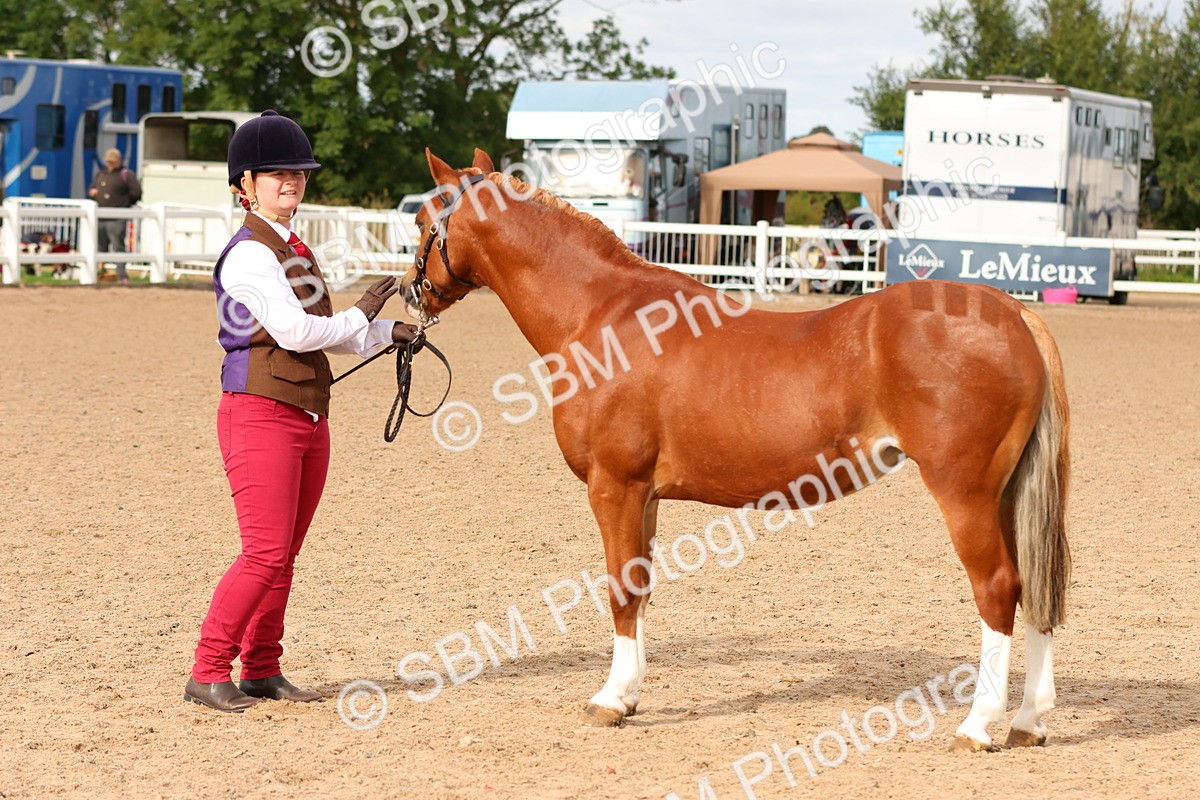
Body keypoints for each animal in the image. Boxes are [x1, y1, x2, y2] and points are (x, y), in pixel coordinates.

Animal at [401, 148, 1071, 752]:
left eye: (423, 219)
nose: (412, 295)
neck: (599, 316)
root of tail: (1012, 313)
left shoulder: (614, 486)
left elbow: (619, 587)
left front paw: (609, 700)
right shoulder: (645, 496)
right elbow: (641, 587)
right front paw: (631, 695)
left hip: (965, 492)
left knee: (998, 588)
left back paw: (978, 726)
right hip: (1006, 494)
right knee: (1033, 587)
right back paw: (1029, 721)